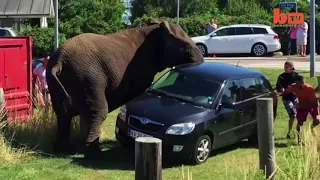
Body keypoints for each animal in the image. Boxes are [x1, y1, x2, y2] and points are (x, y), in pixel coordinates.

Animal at [46, 20, 204, 159]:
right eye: (186, 49)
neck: (154, 28)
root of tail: (60, 60)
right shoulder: (141, 66)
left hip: (56, 82)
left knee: (62, 114)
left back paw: (62, 149)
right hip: (89, 78)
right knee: (97, 112)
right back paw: (94, 154)